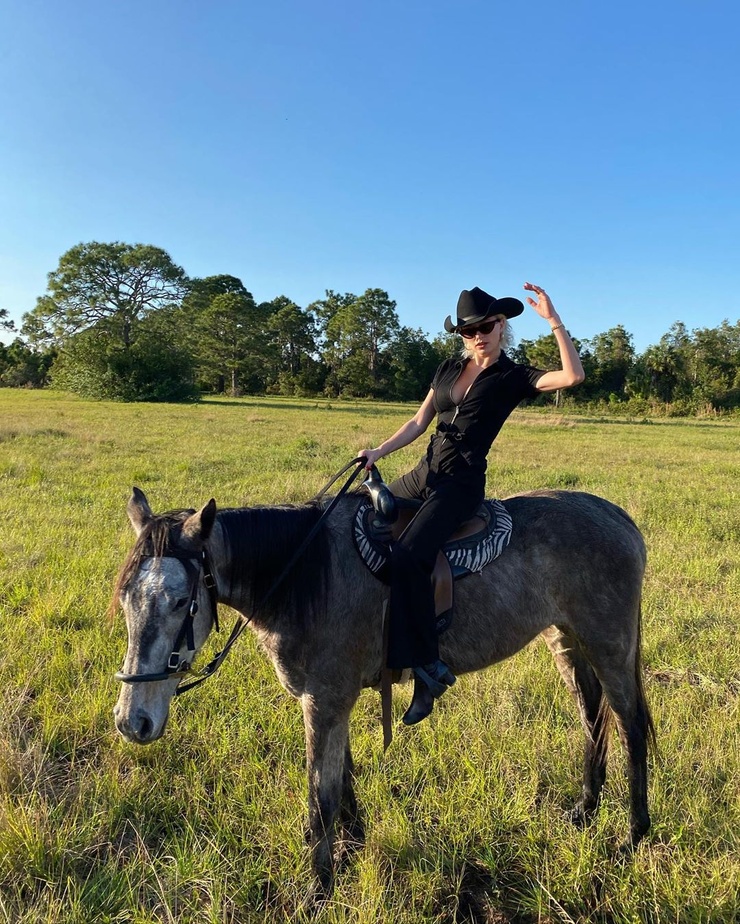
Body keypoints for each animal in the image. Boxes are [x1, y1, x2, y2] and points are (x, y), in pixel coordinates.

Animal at [113, 484, 655, 900]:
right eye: (125, 598)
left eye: (181, 601)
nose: (132, 722)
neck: (306, 576)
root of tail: (619, 519)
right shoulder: (330, 701)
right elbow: (343, 781)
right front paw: (352, 847)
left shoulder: (325, 701)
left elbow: (321, 798)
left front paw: (319, 888)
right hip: (565, 639)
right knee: (591, 715)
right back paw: (586, 809)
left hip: (608, 644)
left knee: (630, 726)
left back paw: (633, 835)